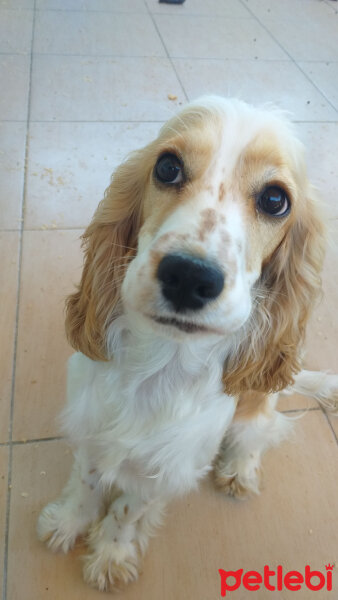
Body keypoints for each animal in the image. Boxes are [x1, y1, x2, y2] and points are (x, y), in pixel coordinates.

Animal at [37, 97, 338, 592]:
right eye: (167, 167)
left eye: (275, 200)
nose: (189, 276)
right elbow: (88, 480)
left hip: (256, 403)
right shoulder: (91, 427)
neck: (160, 362)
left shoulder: (167, 467)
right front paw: (67, 521)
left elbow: (127, 510)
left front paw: (111, 554)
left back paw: (240, 468)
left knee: (260, 427)